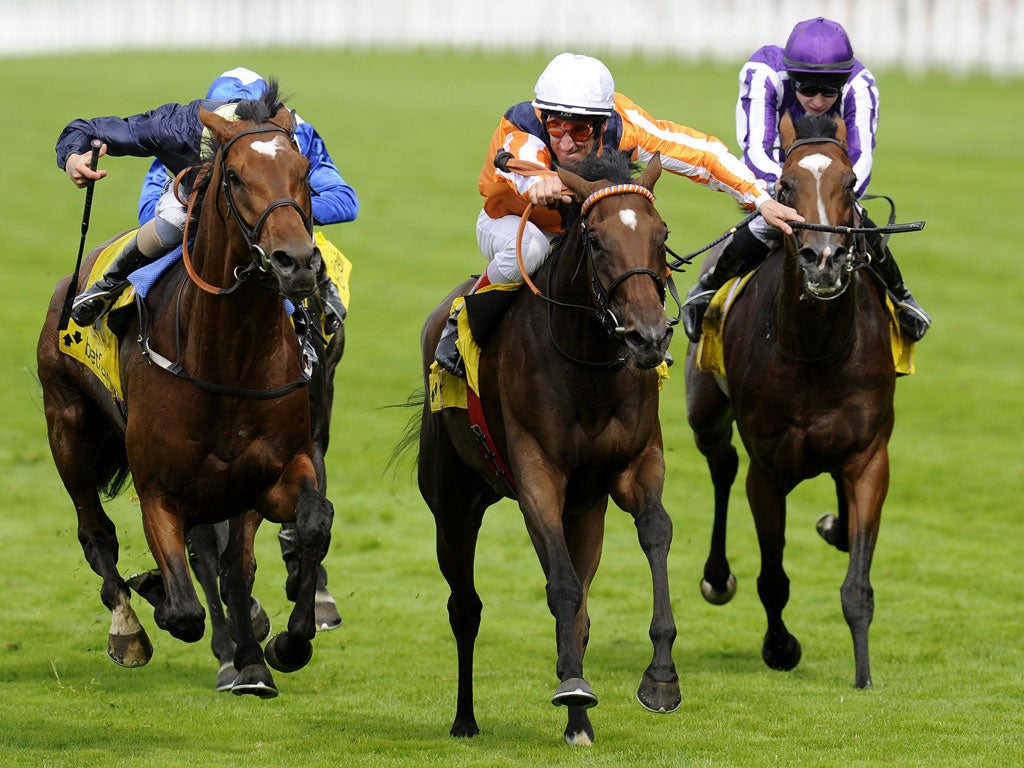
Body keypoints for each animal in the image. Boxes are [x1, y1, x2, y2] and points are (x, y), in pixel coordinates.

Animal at [36, 82, 329, 696]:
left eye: (303, 172)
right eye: (234, 176)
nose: (295, 263)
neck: (228, 360)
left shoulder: (268, 473)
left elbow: (302, 529)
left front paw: (277, 649)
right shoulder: (159, 489)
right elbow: (185, 608)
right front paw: (159, 594)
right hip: (66, 427)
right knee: (96, 532)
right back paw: (128, 629)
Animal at [684, 115, 909, 692]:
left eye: (849, 184)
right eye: (785, 186)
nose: (823, 259)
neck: (814, 350)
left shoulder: (869, 455)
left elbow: (857, 582)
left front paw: (863, 675)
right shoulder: (766, 469)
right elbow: (772, 578)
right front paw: (780, 646)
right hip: (705, 411)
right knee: (721, 464)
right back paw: (717, 577)